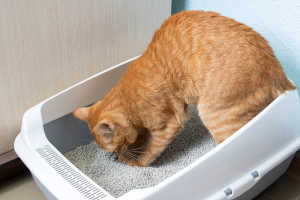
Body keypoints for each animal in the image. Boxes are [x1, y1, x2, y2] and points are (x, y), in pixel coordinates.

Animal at [73, 10, 296, 167]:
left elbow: (151, 150)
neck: (129, 97)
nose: (116, 154)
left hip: (215, 115)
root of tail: (277, 70)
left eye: (117, 146)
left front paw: (136, 160)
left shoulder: (169, 123)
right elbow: (142, 136)